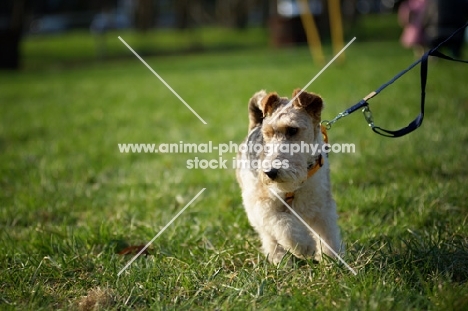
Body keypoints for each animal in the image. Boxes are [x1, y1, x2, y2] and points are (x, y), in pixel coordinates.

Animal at [236, 89, 342, 264]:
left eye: (292, 130)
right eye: (268, 133)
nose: (270, 172)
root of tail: (256, 125)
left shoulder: (322, 206)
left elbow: (328, 235)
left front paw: (332, 260)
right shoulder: (266, 205)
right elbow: (285, 226)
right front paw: (306, 247)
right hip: (252, 200)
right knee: (268, 236)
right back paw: (280, 259)